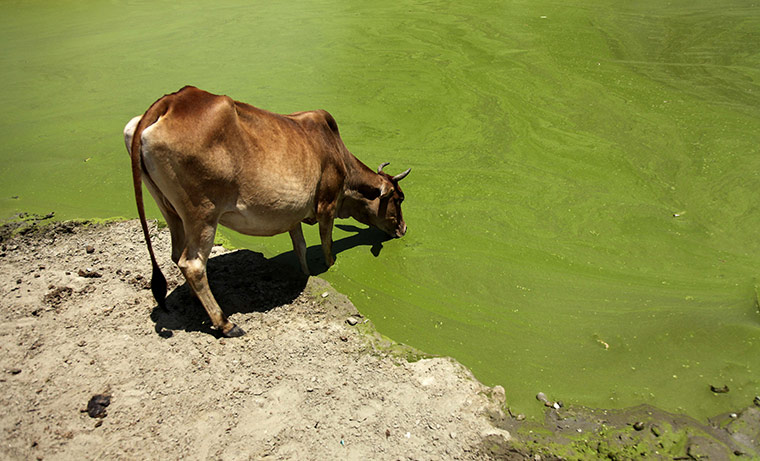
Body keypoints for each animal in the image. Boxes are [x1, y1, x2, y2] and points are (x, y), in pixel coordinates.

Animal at [124, 86, 410, 337]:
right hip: (203, 214)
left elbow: (300, 248)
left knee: (176, 254)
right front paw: (330, 268)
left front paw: (305, 273)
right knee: (192, 263)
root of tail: (173, 100)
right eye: (399, 198)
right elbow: (327, 248)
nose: (404, 228)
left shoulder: (293, 214)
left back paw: (198, 302)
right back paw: (225, 324)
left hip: (170, 209)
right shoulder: (326, 206)